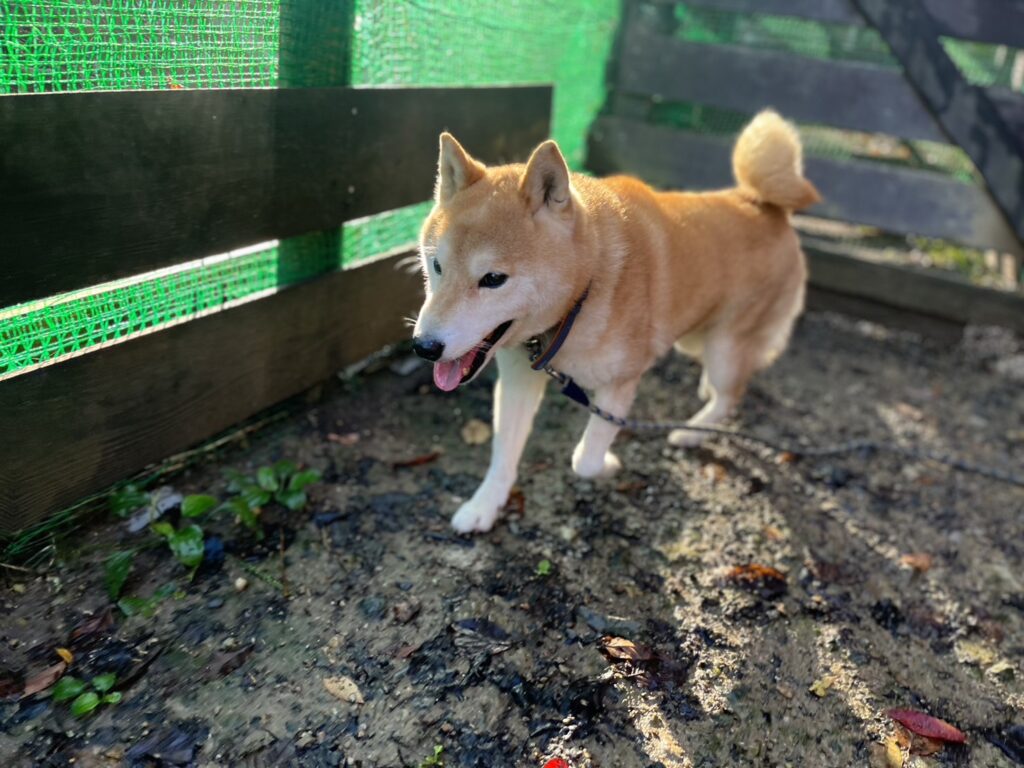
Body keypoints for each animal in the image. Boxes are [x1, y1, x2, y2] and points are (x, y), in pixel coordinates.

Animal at [412, 110, 819, 533]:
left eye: (493, 279)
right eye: (436, 265)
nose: (424, 347)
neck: (582, 295)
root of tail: (762, 203)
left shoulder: (620, 383)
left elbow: (585, 459)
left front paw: (609, 464)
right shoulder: (519, 379)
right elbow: (503, 453)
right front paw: (484, 505)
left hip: (725, 345)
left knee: (732, 394)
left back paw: (689, 433)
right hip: (696, 339)